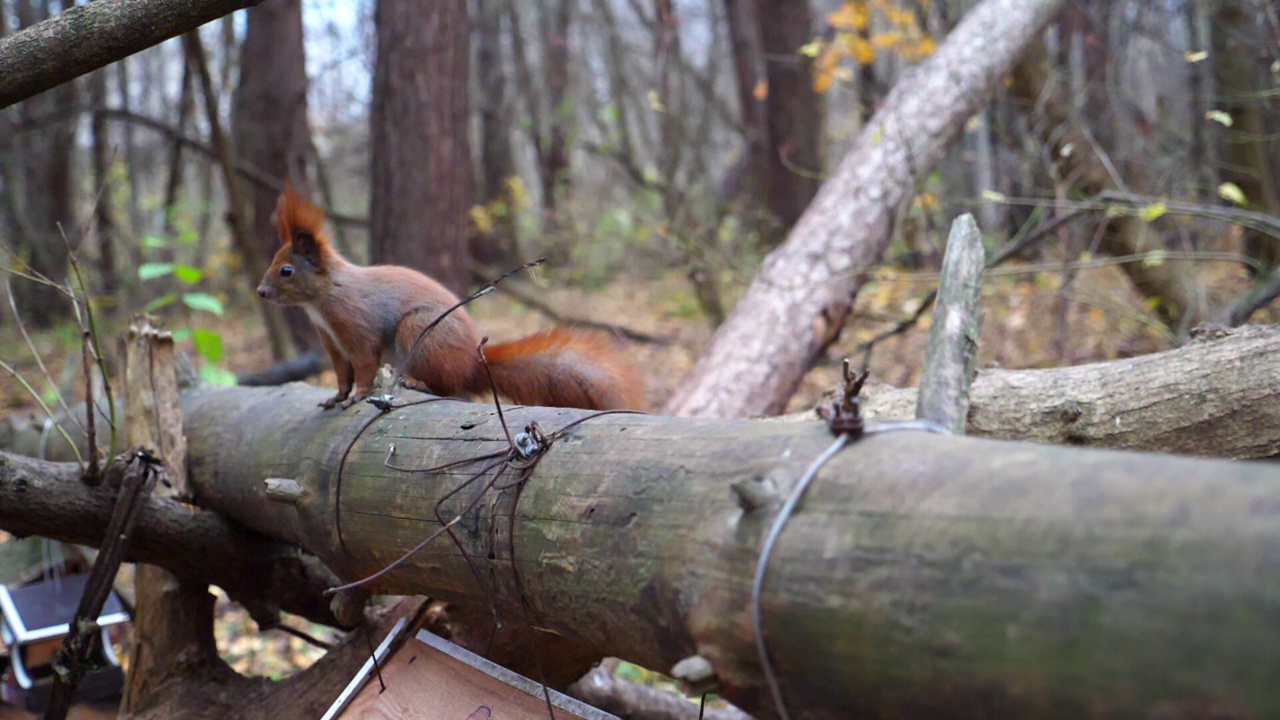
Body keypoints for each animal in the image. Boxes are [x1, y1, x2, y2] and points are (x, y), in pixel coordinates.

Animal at [256, 185, 645, 409]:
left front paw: (358, 395)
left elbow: (364, 365)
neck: (322, 299)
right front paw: (336, 396)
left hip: (419, 333)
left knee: (447, 387)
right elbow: (341, 372)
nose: (260, 291)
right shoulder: (332, 342)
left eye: (286, 270)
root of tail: (472, 363)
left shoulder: (355, 328)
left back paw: (417, 381)